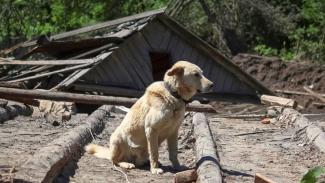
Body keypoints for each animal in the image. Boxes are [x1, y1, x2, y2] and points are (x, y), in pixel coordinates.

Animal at [85, 60, 213, 174]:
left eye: (202, 73)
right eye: (196, 74)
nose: (212, 85)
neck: (173, 95)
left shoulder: (174, 131)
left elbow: (173, 152)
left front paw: (177, 167)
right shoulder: (151, 129)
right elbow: (154, 152)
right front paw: (155, 169)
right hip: (117, 138)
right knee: (115, 161)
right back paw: (127, 164)